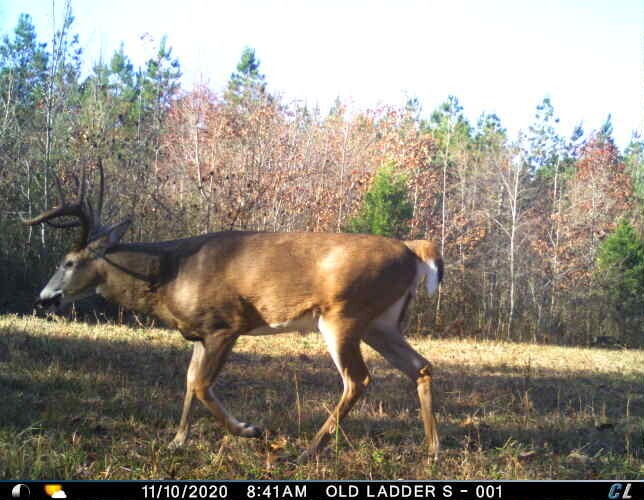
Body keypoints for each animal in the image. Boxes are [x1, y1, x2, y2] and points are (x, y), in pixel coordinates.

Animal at [23, 162, 442, 462]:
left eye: (69, 262)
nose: (43, 298)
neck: (169, 277)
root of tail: (413, 250)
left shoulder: (227, 323)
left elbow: (201, 384)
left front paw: (248, 430)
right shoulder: (198, 331)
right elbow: (189, 381)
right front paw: (177, 440)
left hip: (344, 315)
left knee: (358, 379)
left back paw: (308, 451)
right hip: (381, 321)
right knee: (420, 366)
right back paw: (432, 449)